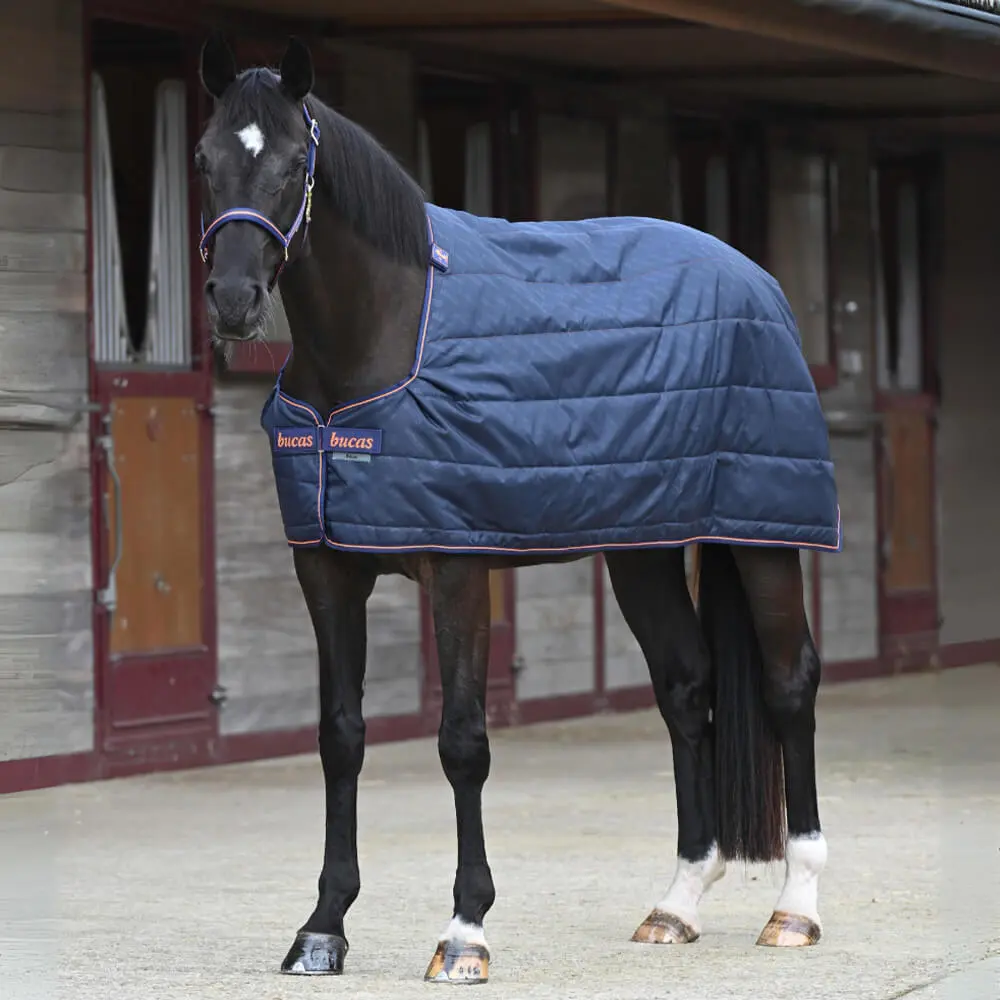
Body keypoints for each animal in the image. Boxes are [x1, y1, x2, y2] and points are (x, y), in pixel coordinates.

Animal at [195, 32, 839, 983]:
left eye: (291, 165)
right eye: (205, 160)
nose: (235, 302)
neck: (387, 337)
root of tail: (757, 280)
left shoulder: (459, 569)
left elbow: (463, 742)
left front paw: (465, 931)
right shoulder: (328, 574)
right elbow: (340, 737)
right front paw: (323, 928)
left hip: (763, 538)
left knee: (790, 686)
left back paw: (796, 907)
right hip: (644, 550)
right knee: (687, 688)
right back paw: (675, 905)